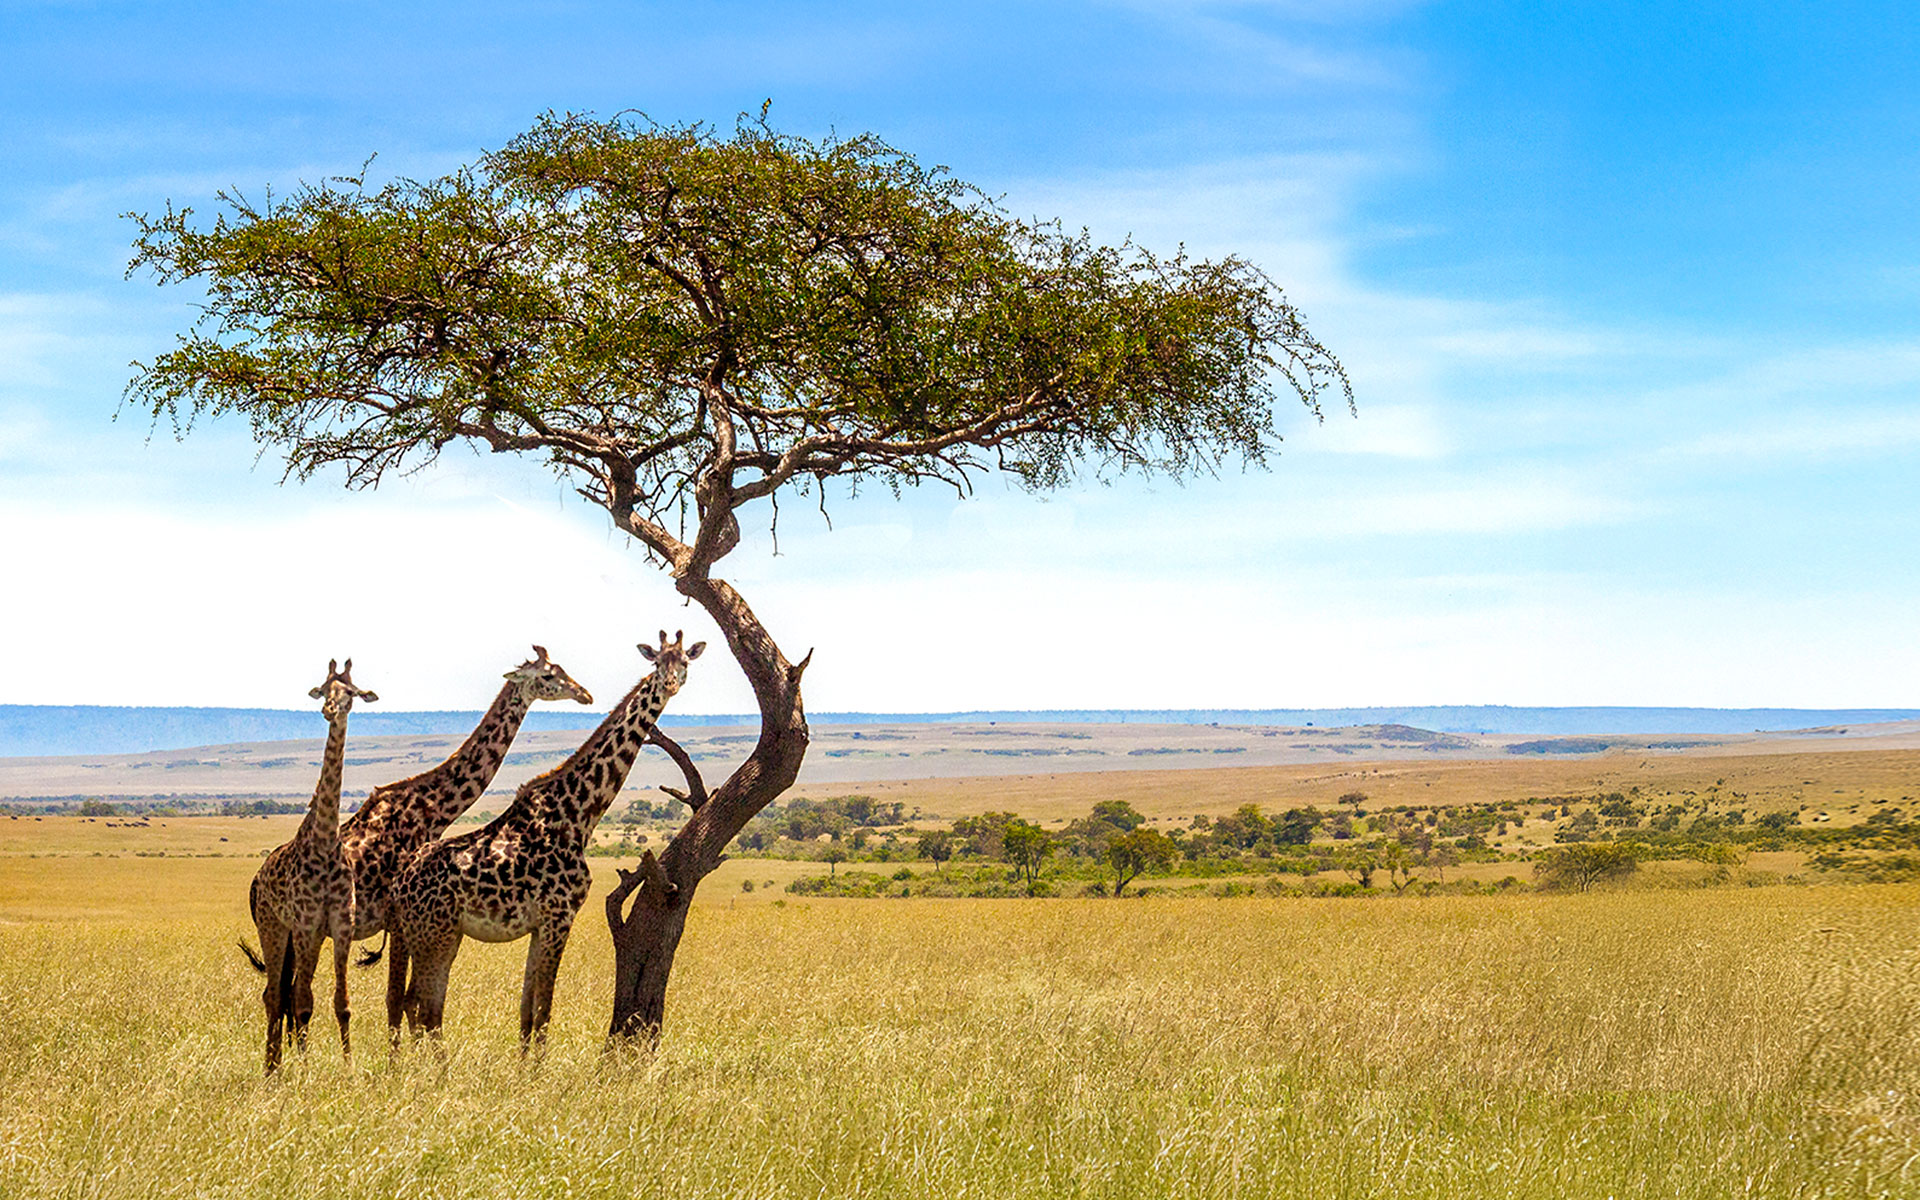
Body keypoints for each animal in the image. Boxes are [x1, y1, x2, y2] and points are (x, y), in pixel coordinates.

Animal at [245, 658, 377, 1074]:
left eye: (350, 692)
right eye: (323, 689)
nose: (329, 710)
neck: (324, 843)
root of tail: (257, 880)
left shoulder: (339, 926)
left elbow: (341, 1004)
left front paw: (350, 1070)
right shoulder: (303, 924)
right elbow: (302, 1003)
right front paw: (303, 1071)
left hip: (308, 937)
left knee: (286, 992)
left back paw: (277, 1062)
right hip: (273, 927)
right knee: (275, 994)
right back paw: (272, 1068)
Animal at [389, 631, 704, 1050]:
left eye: (683, 661)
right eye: (657, 662)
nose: (669, 684)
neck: (580, 812)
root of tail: (400, 884)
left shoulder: (539, 925)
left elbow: (526, 1012)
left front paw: (524, 1066)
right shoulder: (560, 916)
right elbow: (544, 1011)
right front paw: (539, 1067)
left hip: (434, 934)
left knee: (415, 1004)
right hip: (433, 933)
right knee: (425, 1010)